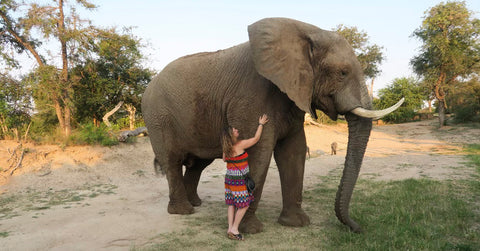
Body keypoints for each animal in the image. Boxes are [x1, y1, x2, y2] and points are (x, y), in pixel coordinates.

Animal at [141, 17, 404, 233]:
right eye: (343, 72)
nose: (358, 228)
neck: (308, 32)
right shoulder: (251, 96)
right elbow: (259, 152)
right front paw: (250, 230)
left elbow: (294, 151)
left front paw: (296, 224)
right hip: (157, 117)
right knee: (172, 160)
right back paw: (183, 211)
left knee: (198, 163)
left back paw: (195, 204)